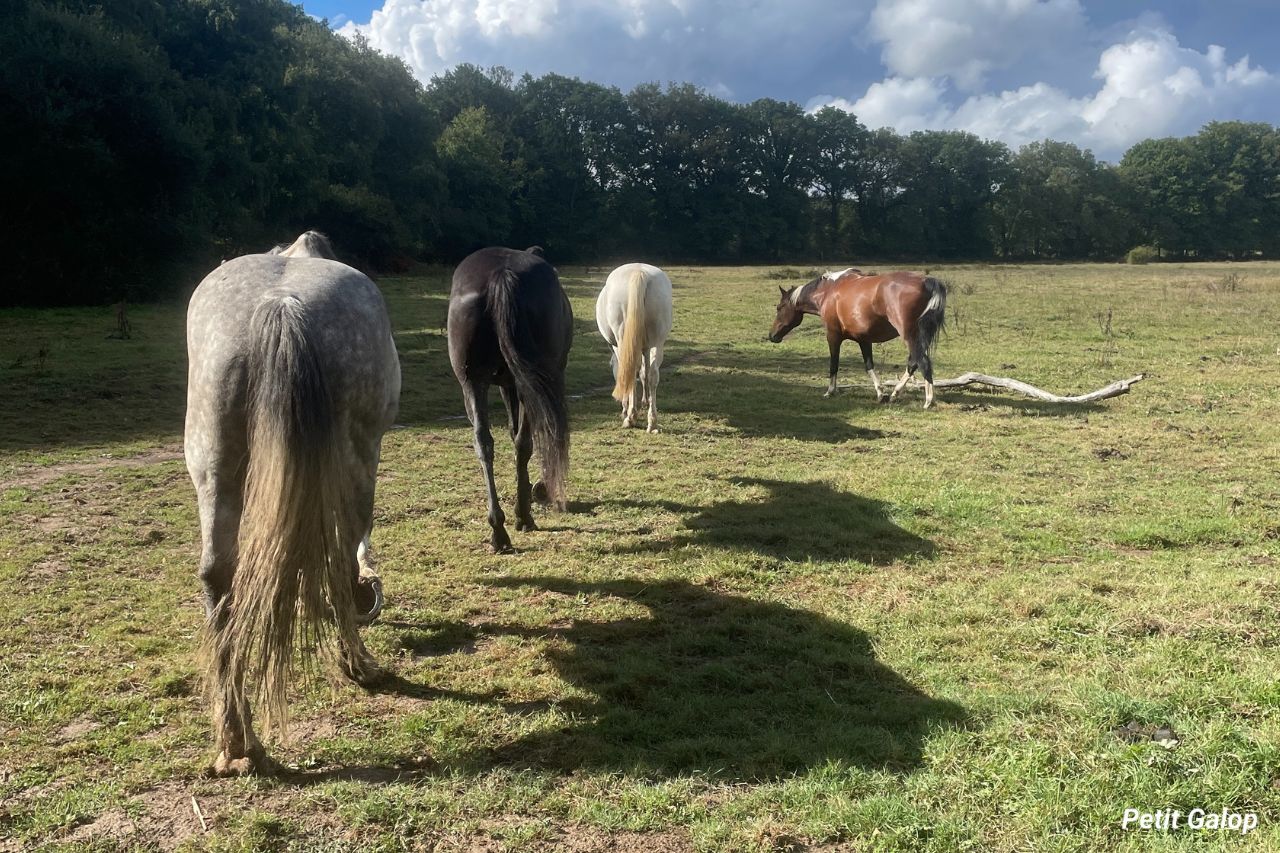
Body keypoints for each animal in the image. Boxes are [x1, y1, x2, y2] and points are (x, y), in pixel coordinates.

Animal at [185, 231, 400, 775]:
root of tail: (279, 302)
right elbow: (338, 550)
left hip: (213, 465)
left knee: (218, 576)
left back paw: (238, 742)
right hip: (355, 454)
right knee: (341, 547)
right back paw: (358, 663)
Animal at [447, 246, 573, 552]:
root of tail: (501, 275)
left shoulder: (507, 385)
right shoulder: (517, 385)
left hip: (474, 383)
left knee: (484, 442)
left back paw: (499, 529)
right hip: (524, 384)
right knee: (523, 443)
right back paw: (522, 516)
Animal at [595, 263, 673, 433]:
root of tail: (640, 272)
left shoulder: (617, 347)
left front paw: (626, 408)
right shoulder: (646, 347)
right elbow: (644, 372)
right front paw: (645, 401)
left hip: (622, 339)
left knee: (630, 370)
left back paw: (630, 417)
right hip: (658, 341)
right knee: (653, 374)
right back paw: (652, 423)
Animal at [768, 268, 946, 408]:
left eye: (779, 307)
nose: (772, 336)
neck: (828, 292)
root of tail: (926, 281)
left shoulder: (833, 336)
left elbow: (834, 365)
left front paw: (830, 391)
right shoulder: (863, 339)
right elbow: (869, 366)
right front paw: (880, 393)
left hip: (910, 335)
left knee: (921, 362)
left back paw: (926, 400)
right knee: (916, 362)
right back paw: (898, 394)